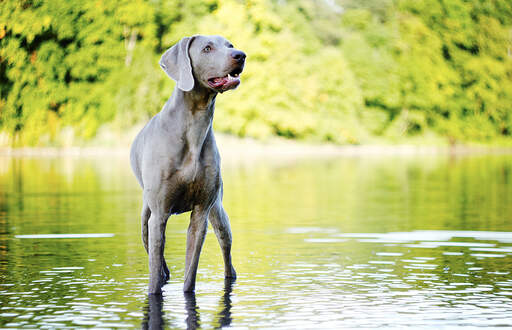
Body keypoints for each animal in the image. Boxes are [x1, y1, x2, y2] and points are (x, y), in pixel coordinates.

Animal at [130, 35, 246, 294]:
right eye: (207, 48)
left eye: (230, 45)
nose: (241, 55)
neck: (194, 124)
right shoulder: (159, 214)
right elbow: (154, 273)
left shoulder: (201, 213)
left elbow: (190, 272)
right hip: (144, 219)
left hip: (219, 214)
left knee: (227, 256)